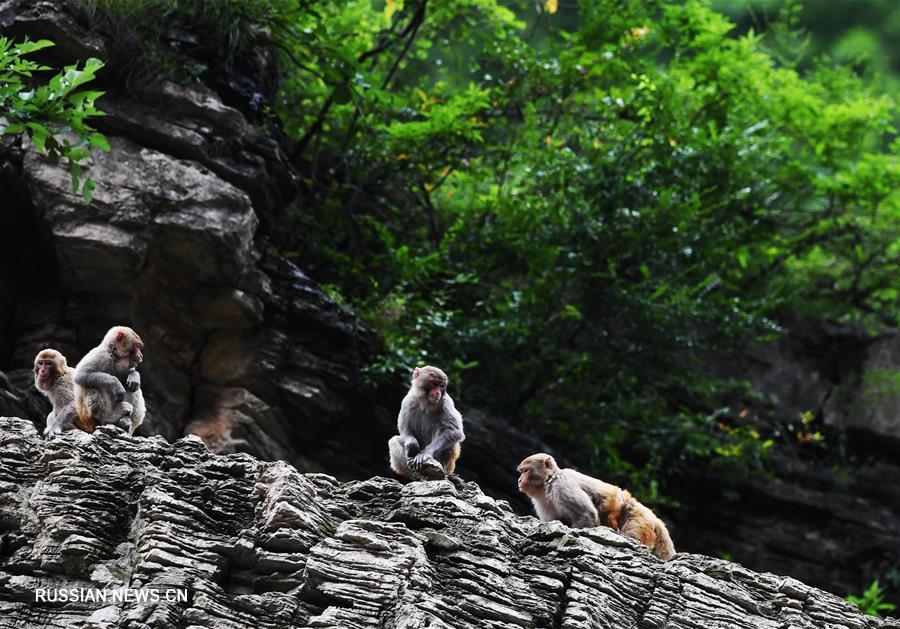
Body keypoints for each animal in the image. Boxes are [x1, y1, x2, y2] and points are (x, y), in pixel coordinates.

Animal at [512, 452, 676, 560]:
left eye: (525, 471)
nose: (519, 480)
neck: (548, 482)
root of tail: (652, 515)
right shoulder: (541, 501)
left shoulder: (562, 485)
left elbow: (586, 514)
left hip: (639, 518)